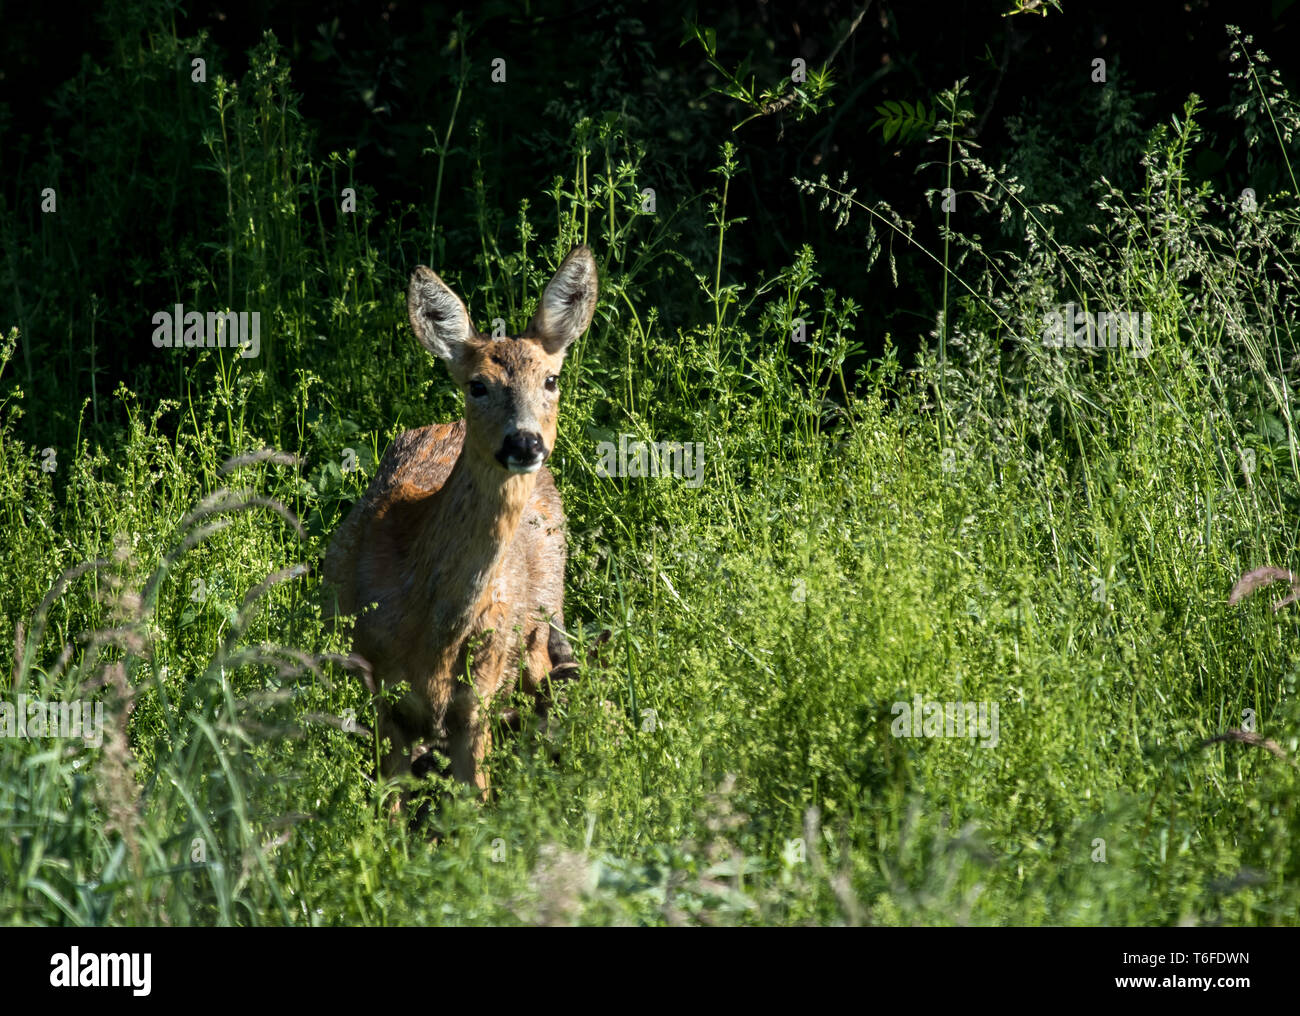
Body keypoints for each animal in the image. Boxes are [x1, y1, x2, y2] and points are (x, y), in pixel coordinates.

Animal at [324, 246, 598, 801]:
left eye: (551, 379)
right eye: (478, 385)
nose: (525, 443)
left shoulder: (479, 699)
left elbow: (477, 799)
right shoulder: (380, 689)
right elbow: (390, 801)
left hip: (543, 618)